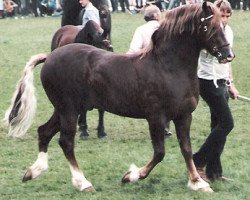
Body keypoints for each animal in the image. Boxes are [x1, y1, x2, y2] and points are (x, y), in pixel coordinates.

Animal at [4, 1, 234, 192]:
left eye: (222, 25)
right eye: (208, 26)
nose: (228, 55)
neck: (167, 67)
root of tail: (50, 56)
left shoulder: (183, 116)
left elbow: (186, 148)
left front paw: (197, 183)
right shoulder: (156, 118)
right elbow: (159, 152)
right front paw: (131, 176)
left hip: (64, 110)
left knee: (44, 132)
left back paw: (34, 171)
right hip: (68, 110)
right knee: (66, 142)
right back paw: (83, 183)